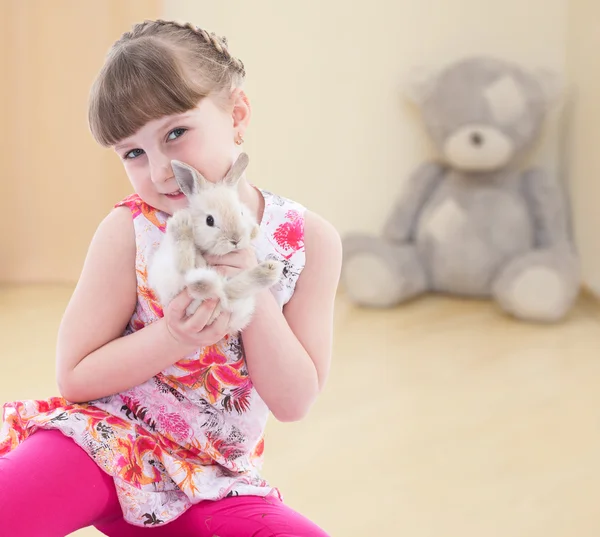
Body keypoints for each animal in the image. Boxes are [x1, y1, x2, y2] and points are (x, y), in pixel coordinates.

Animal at [148, 152, 284, 336]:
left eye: (240, 212)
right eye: (209, 220)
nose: (235, 240)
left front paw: (254, 231)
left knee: (228, 290)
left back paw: (268, 271)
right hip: (173, 278)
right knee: (188, 271)